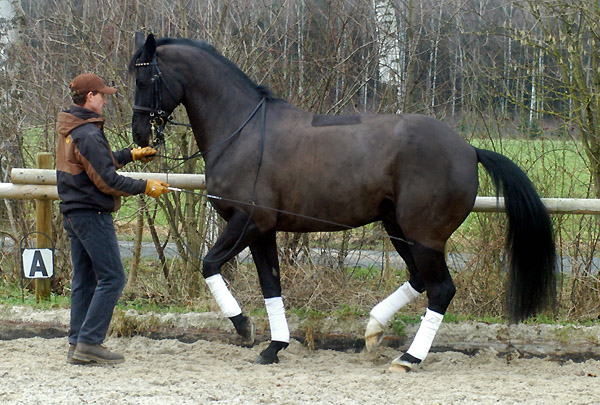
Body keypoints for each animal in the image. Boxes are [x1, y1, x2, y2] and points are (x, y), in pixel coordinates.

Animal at [131, 34, 556, 370]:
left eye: (144, 77)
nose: (139, 135)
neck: (243, 132)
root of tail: (468, 149)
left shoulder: (248, 222)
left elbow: (209, 265)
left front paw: (243, 326)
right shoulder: (264, 231)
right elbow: (271, 285)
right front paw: (274, 347)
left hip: (424, 235)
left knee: (441, 290)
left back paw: (409, 358)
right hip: (397, 228)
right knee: (420, 280)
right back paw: (373, 329)